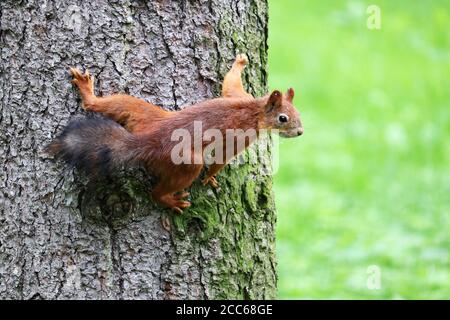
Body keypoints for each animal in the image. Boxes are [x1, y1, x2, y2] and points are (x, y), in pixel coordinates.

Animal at [47, 53, 304, 214]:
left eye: (297, 112)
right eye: (283, 118)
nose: (300, 132)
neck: (255, 110)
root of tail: (148, 141)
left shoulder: (238, 95)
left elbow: (229, 82)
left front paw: (239, 62)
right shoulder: (243, 134)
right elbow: (223, 156)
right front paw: (211, 176)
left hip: (139, 112)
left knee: (100, 104)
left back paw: (87, 91)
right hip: (184, 163)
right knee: (158, 191)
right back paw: (170, 200)